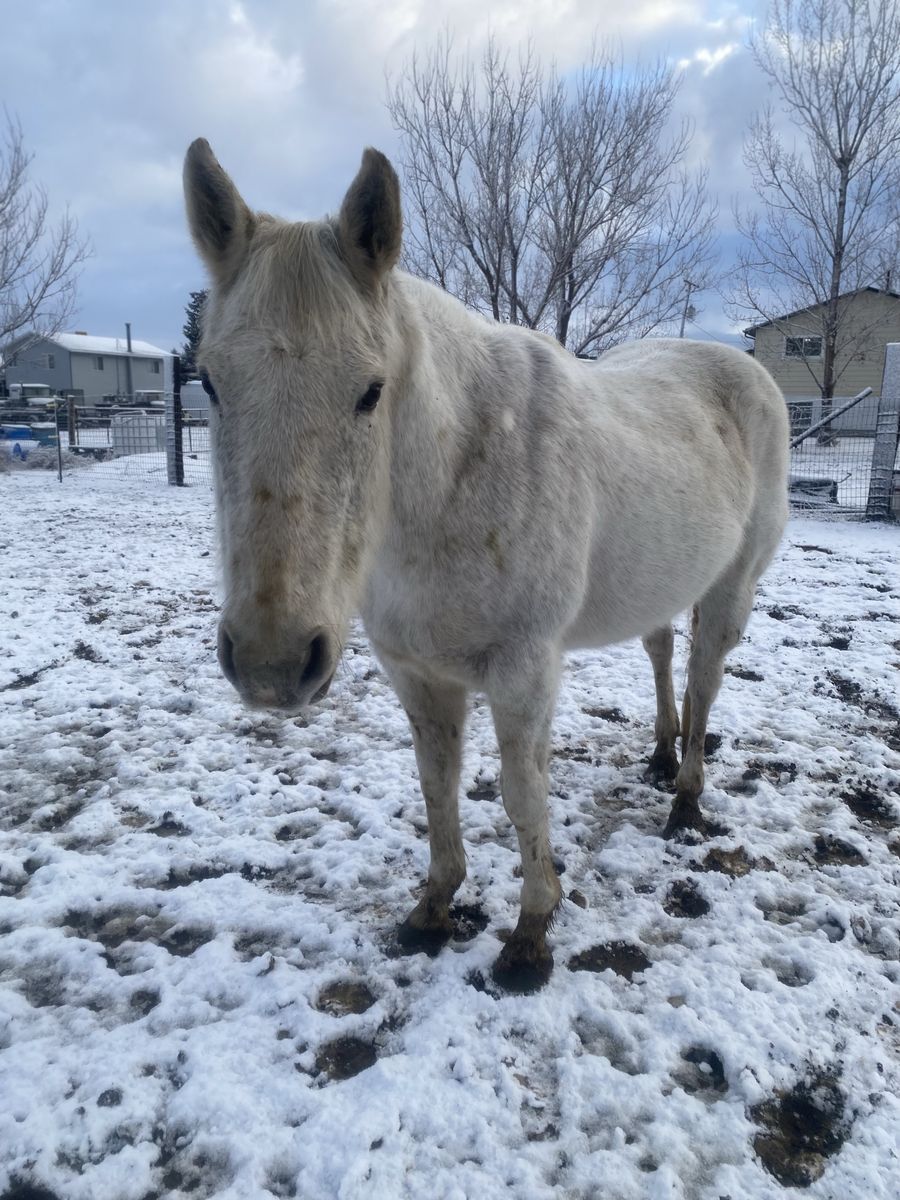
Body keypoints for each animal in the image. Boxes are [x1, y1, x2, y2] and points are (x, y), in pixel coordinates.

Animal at [183, 140, 789, 992]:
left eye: (371, 391)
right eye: (209, 381)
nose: (272, 663)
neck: (454, 476)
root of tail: (740, 368)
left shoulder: (524, 672)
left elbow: (522, 793)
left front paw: (531, 933)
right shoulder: (416, 673)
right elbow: (437, 782)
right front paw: (433, 907)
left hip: (733, 587)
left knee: (705, 681)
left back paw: (686, 799)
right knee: (662, 652)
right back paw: (661, 757)